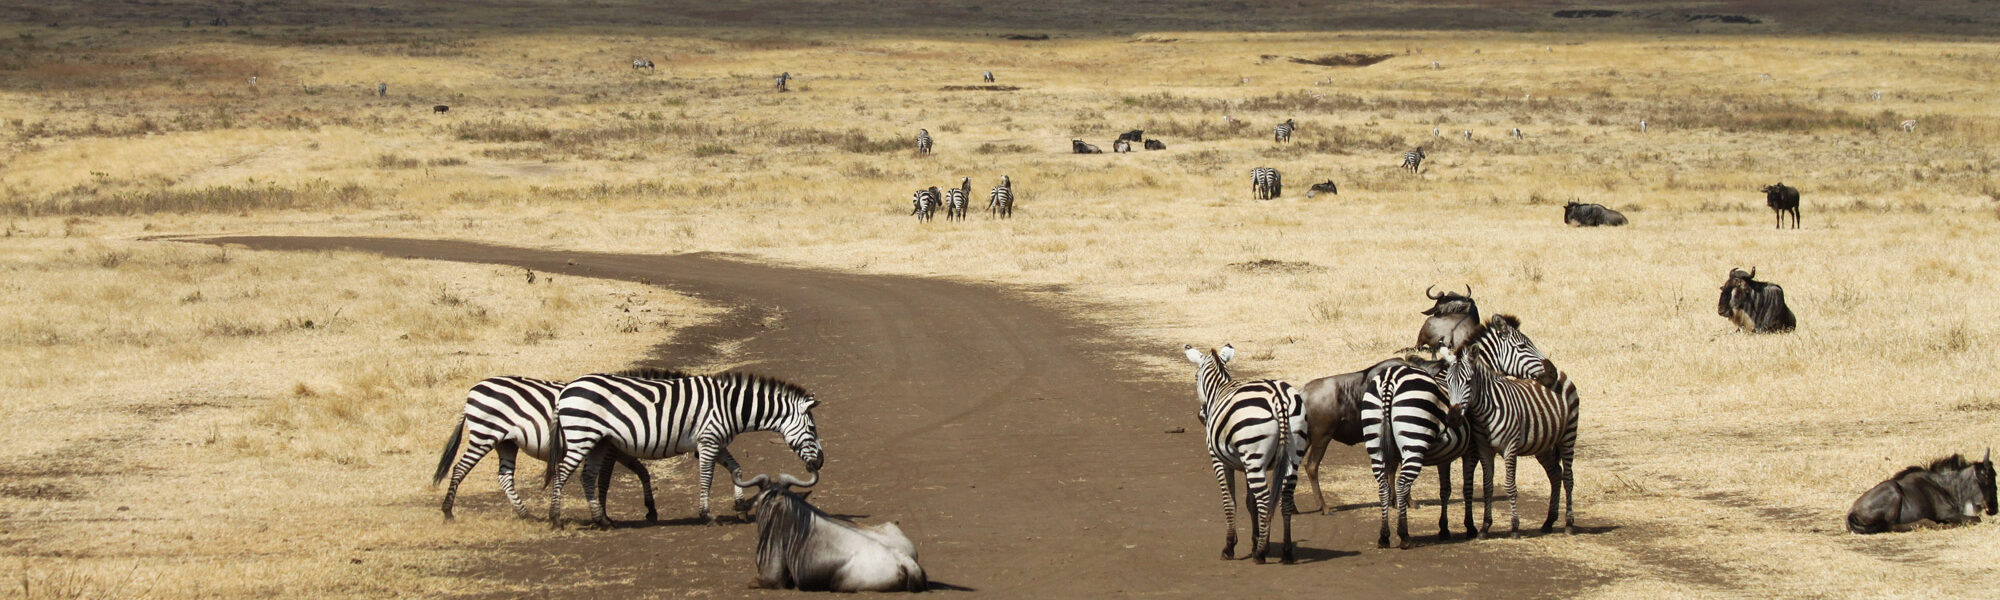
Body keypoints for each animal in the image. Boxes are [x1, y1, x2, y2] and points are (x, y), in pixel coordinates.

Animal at [432, 376, 676, 520]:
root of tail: (472, 391)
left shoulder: (617, 449)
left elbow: (641, 471)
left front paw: (650, 509)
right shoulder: (610, 447)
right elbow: (605, 479)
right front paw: (604, 514)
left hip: (506, 442)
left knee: (504, 476)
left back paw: (525, 513)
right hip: (485, 435)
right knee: (460, 468)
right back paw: (447, 511)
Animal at [544, 368, 824, 528]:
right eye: (812, 429)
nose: (820, 462)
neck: (729, 407)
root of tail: (566, 390)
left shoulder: (715, 441)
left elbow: (737, 469)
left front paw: (741, 507)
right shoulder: (709, 441)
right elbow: (707, 478)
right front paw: (707, 514)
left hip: (598, 442)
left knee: (587, 477)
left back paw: (601, 520)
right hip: (581, 436)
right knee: (562, 473)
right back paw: (556, 518)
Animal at [1176, 344, 1304, 564]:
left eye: (1195, 377)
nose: (1201, 416)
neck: (1220, 389)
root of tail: (1278, 397)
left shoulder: (1220, 461)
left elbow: (1230, 501)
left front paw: (1230, 547)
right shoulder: (1247, 466)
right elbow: (1250, 503)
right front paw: (1257, 540)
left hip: (1254, 457)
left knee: (1265, 499)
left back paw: (1260, 555)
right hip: (1292, 456)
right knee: (1285, 498)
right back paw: (1286, 552)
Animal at [1440, 316, 1576, 536]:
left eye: (1468, 382)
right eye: (1523, 345)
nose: (1552, 373)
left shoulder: (1483, 449)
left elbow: (1465, 486)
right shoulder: (1476, 449)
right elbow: (1475, 486)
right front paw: (1475, 526)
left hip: (1561, 437)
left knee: (1564, 476)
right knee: (1557, 474)